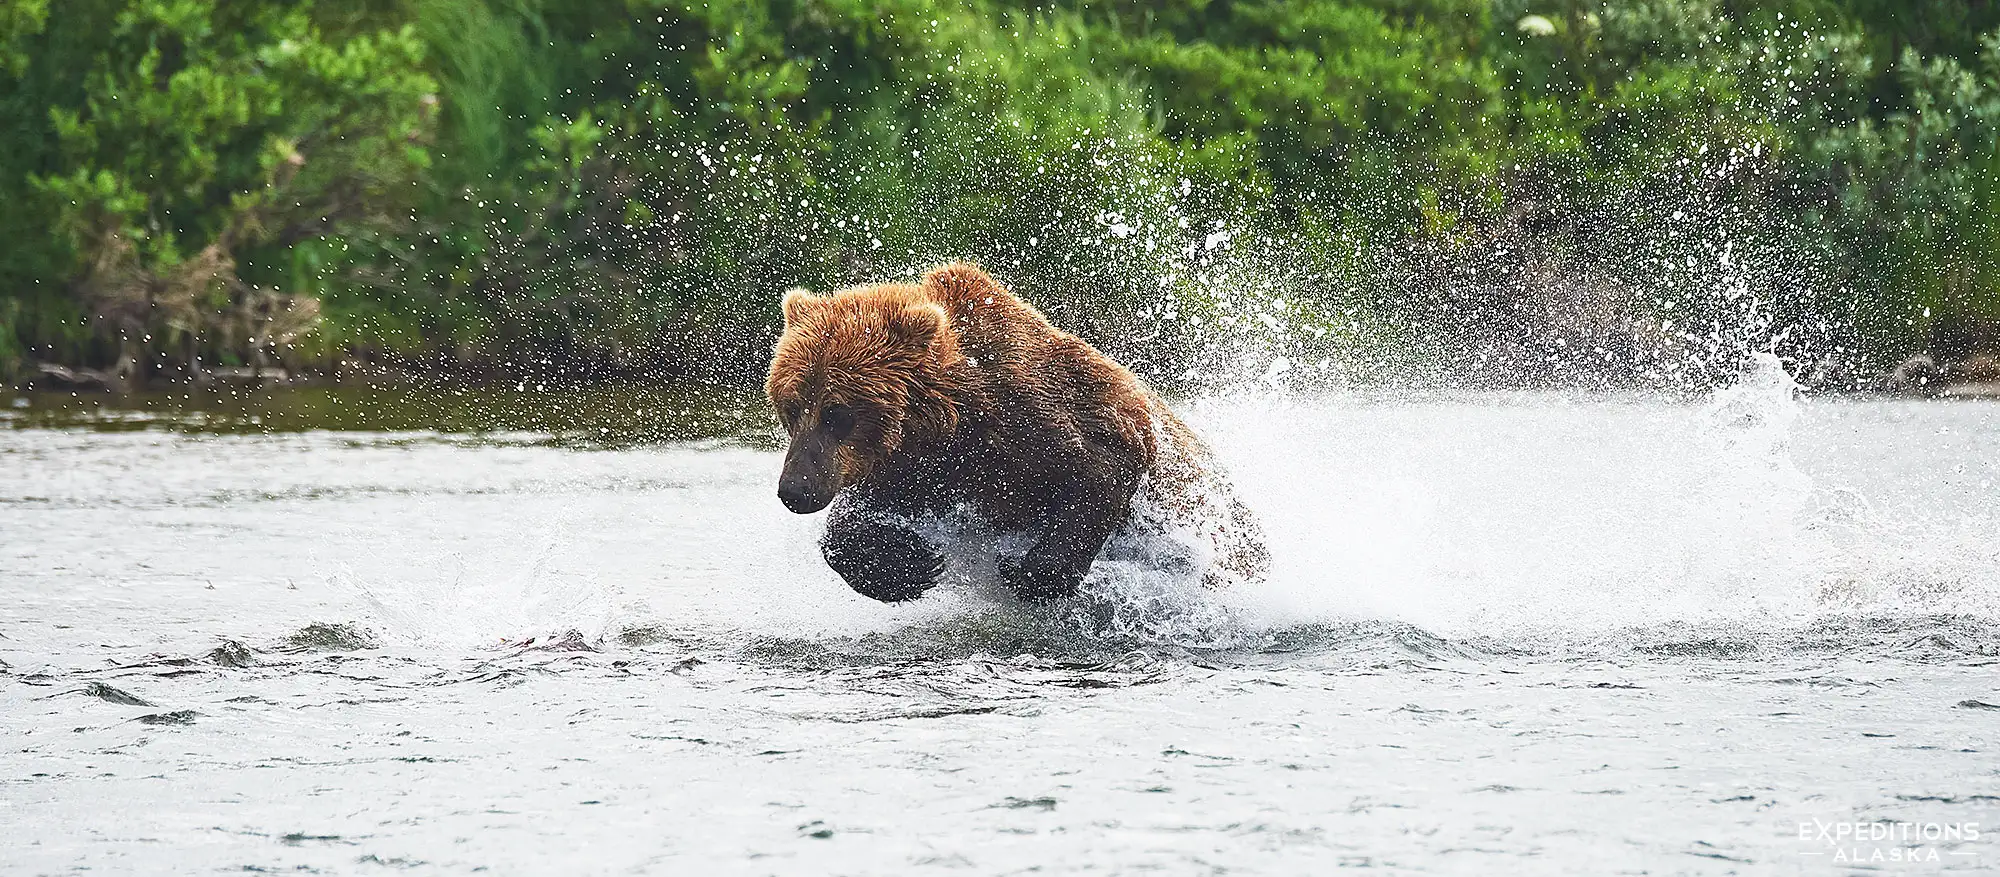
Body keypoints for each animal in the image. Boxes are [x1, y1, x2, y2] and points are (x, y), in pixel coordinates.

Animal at [766, 262, 1267, 603]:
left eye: (837, 414)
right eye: (790, 407)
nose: (795, 490)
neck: (957, 415)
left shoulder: (1041, 412)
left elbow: (1101, 468)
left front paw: (1024, 571)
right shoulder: (919, 470)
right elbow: (855, 520)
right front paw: (911, 564)